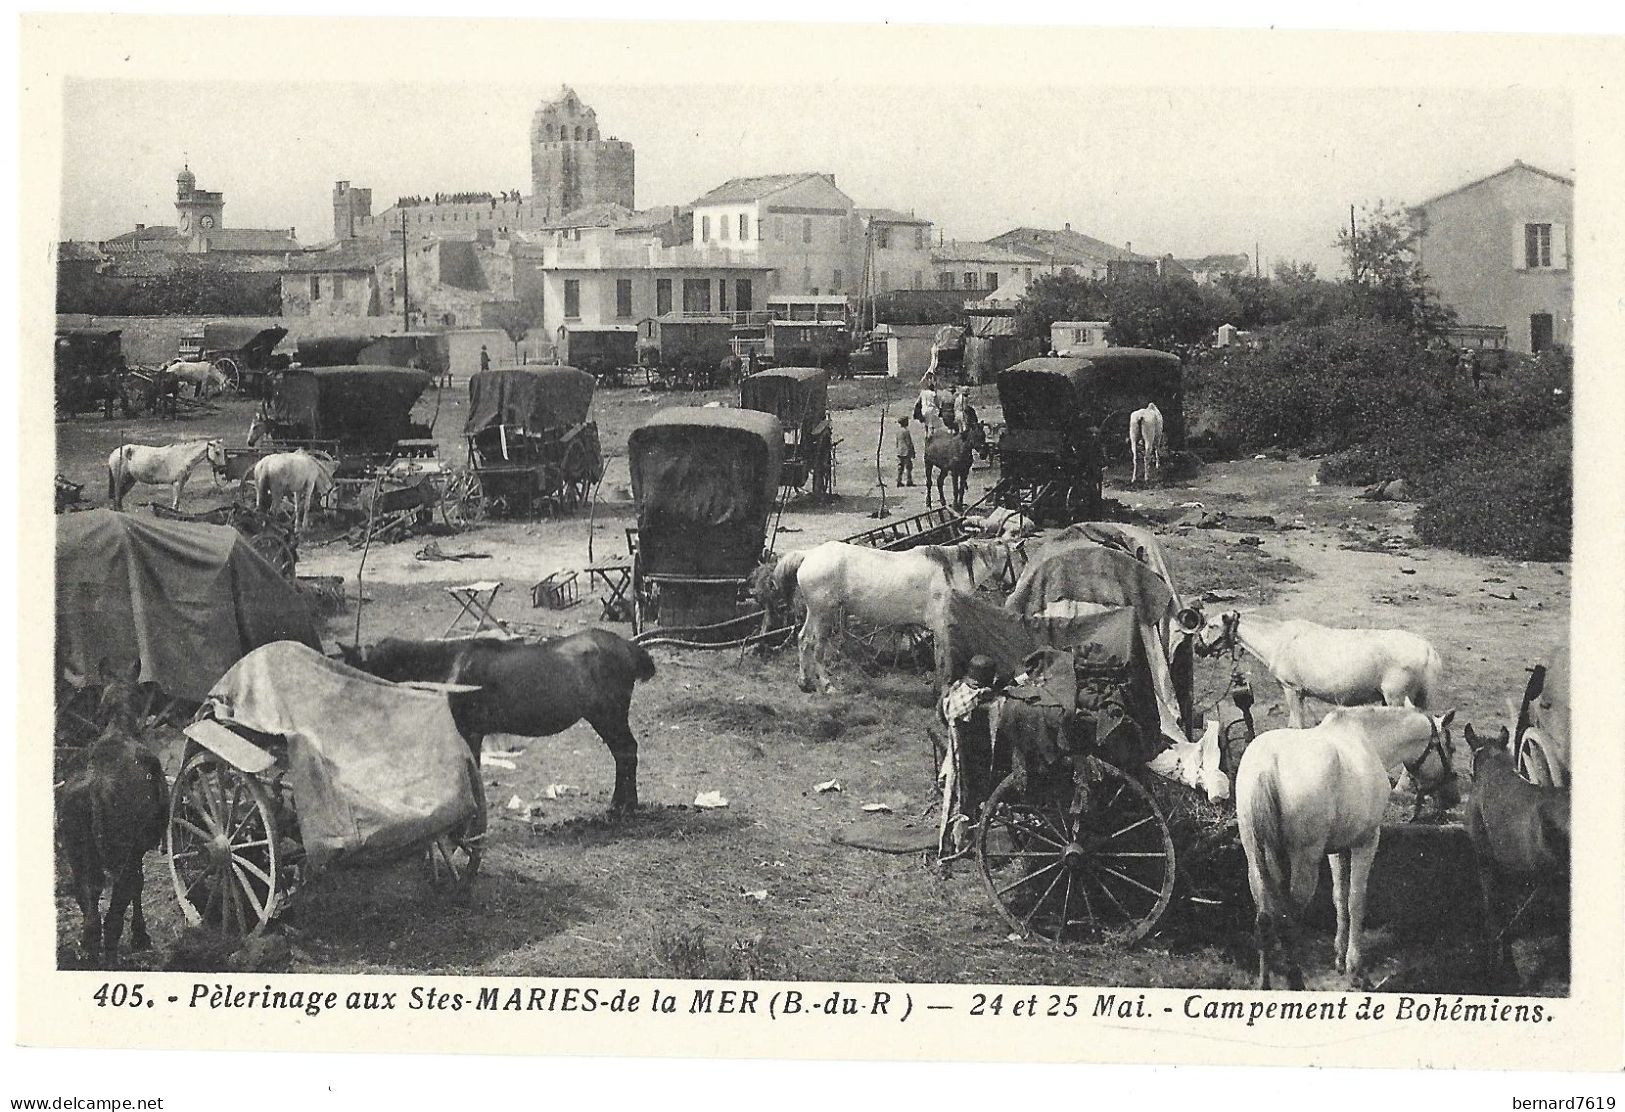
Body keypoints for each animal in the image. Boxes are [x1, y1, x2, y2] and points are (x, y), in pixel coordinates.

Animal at [56, 660, 169, 962]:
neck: (118, 727)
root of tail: (94, 789)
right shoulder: (138, 847)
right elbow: (139, 885)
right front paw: (141, 936)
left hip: (75, 852)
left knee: (90, 914)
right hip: (122, 854)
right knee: (113, 917)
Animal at [334, 630, 653, 812]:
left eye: (352, 671)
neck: (449, 667)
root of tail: (629, 647)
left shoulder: (470, 732)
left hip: (608, 715)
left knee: (627, 751)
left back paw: (622, 806)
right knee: (624, 753)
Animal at [757, 539, 1014, 689]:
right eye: (1016, 557)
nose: (1012, 586)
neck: (947, 572)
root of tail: (808, 555)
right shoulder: (941, 626)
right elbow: (943, 659)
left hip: (818, 613)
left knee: (804, 641)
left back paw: (805, 682)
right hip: (823, 614)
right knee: (815, 645)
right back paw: (825, 684)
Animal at [1235, 708, 1456, 988]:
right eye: (1451, 748)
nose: (1453, 797)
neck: (1367, 740)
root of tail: (1266, 766)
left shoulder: (1336, 849)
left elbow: (1339, 897)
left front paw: (1340, 956)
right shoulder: (1366, 842)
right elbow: (1355, 900)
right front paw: (1354, 966)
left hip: (1256, 859)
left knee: (1264, 917)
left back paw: (1264, 983)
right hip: (1304, 861)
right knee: (1287, 919)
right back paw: (1296, 980)